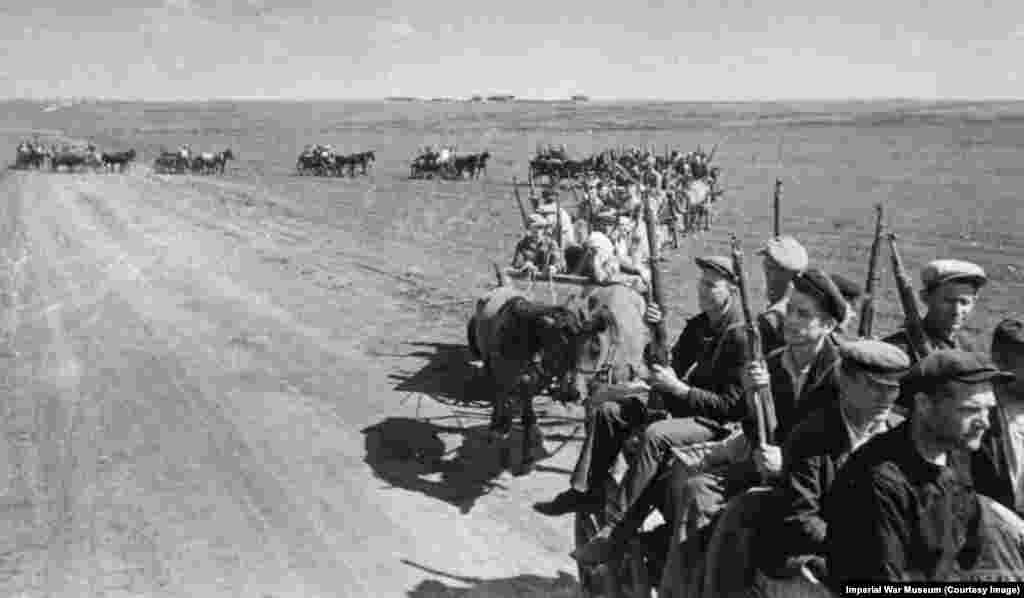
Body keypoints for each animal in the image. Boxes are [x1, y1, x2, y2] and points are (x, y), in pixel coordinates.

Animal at [468, 280, 589, 477]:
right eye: (560, 347)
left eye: (581, 348)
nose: (573, 394)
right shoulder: (507, 380)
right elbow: (506, 407)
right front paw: (504, 453)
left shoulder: (529, 387)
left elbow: (528, 419)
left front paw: (527, 460)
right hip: (490, 367)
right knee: (498, 397)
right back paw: (496, 426)